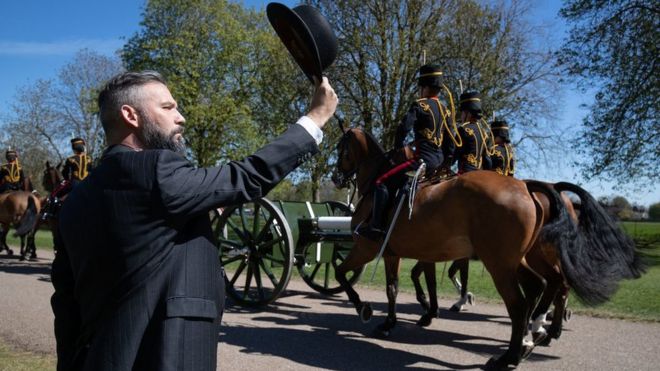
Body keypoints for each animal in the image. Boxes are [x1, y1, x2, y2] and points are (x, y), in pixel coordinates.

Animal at [332, 127, 640, 370]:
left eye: (340, 148)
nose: (336, 178)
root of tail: (528, 188)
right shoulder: (399, 254)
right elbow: (400, 286)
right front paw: (403, 318)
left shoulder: (368, 249)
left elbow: (343, 273)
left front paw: (365, 308)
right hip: (520, 261)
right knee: (544, 286)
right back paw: (534, 336)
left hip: (502, 265)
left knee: (523, 302)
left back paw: (512, 355)